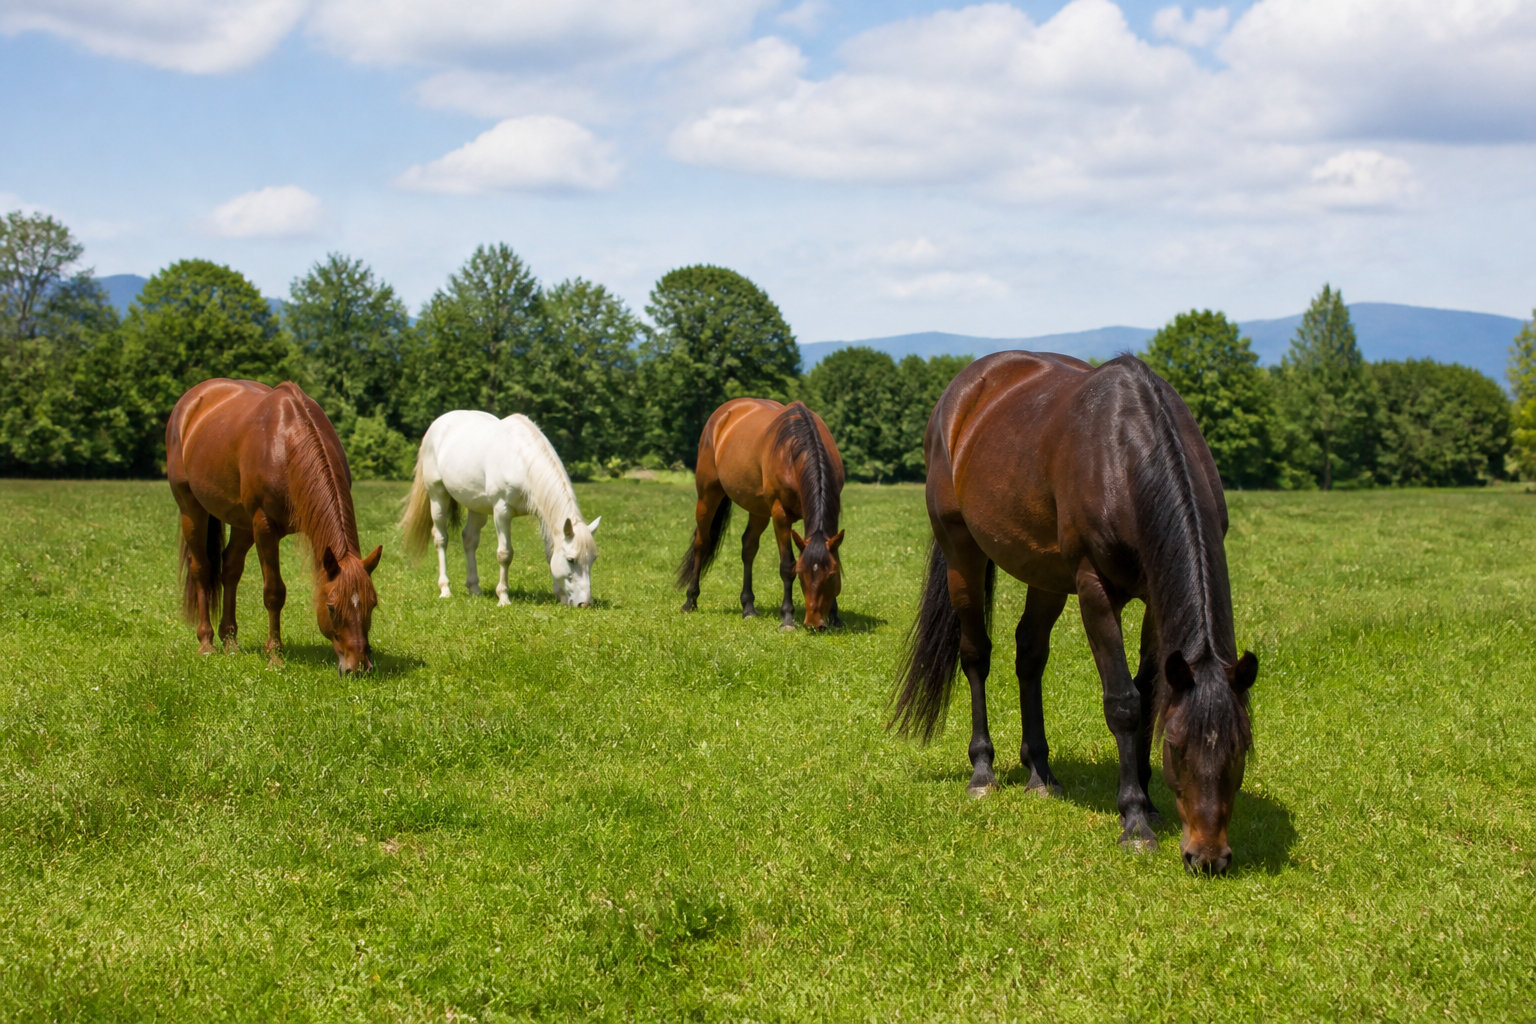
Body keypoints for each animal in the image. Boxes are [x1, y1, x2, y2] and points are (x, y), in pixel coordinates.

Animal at [165, 379, 383, 674]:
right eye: (331, 607)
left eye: (372, 605)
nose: (358, 667)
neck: (287, 444)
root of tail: (191, 400)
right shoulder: (265, 527)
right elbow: (274, 592)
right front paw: (275, 656)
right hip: (192, 509)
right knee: (202, 569)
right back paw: (206, 643)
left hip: (242, 523)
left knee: (230, 569)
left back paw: (230, 641)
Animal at [400, 411, 600, 607]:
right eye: (571, 560)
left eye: (593, 559)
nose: (584, 604)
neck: (520, 460)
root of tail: (437, 424)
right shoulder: (502, 512)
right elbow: (505, 554)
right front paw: (503, 598)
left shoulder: (543, 516)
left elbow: (550, 553)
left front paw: (560, 596)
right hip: (437, 497)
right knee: (441, 539)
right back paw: (445, 589)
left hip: (476, 506)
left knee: (469, 539)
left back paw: (474, 588)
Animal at [677, 398, 846, 630]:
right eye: (801, 575)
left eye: (831, 576)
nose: (814, 623)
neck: (795, 451)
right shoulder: (780, 514)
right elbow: (786, 565)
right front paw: (787, 619)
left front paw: (835, 616)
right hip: (707, 495)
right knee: (701, 543)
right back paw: (690, 600)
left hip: (758, 510)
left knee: (748, 547)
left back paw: (748, 607)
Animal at [891, 352, 1258, 874]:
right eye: (1177, 747)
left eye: (1241, 747)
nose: (1207, 857)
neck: (1126, 454)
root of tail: (961, 391)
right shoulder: (1094, 590)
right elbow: (1123, 702)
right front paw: (1134, 821)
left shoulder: (1154, 598)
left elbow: (1150, 694)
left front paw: (1148, 802)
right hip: (962, 552)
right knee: (976, 655)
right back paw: (983, 770)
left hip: (1043, 573)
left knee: (1029, 654)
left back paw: (1040, 773)